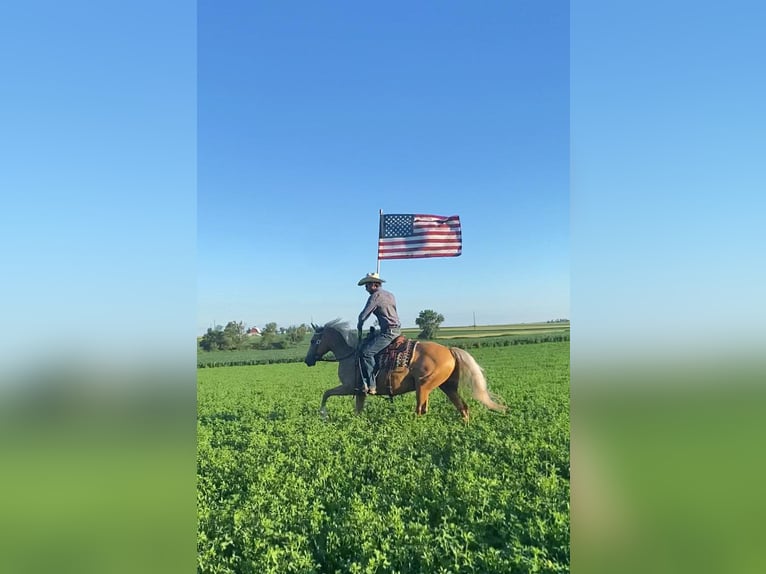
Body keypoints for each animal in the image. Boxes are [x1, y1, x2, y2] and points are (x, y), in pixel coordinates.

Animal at [304, 320, 508, 424]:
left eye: (314, 341)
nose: (307, 360)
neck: (350, 354)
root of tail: (449, 350)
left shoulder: (348, 387)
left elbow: (326, 394)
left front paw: (323, 414)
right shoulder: (360, 392)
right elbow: (357, 412)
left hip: (423, 387)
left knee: (420, 410)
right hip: (446, 387)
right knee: (462, 408)